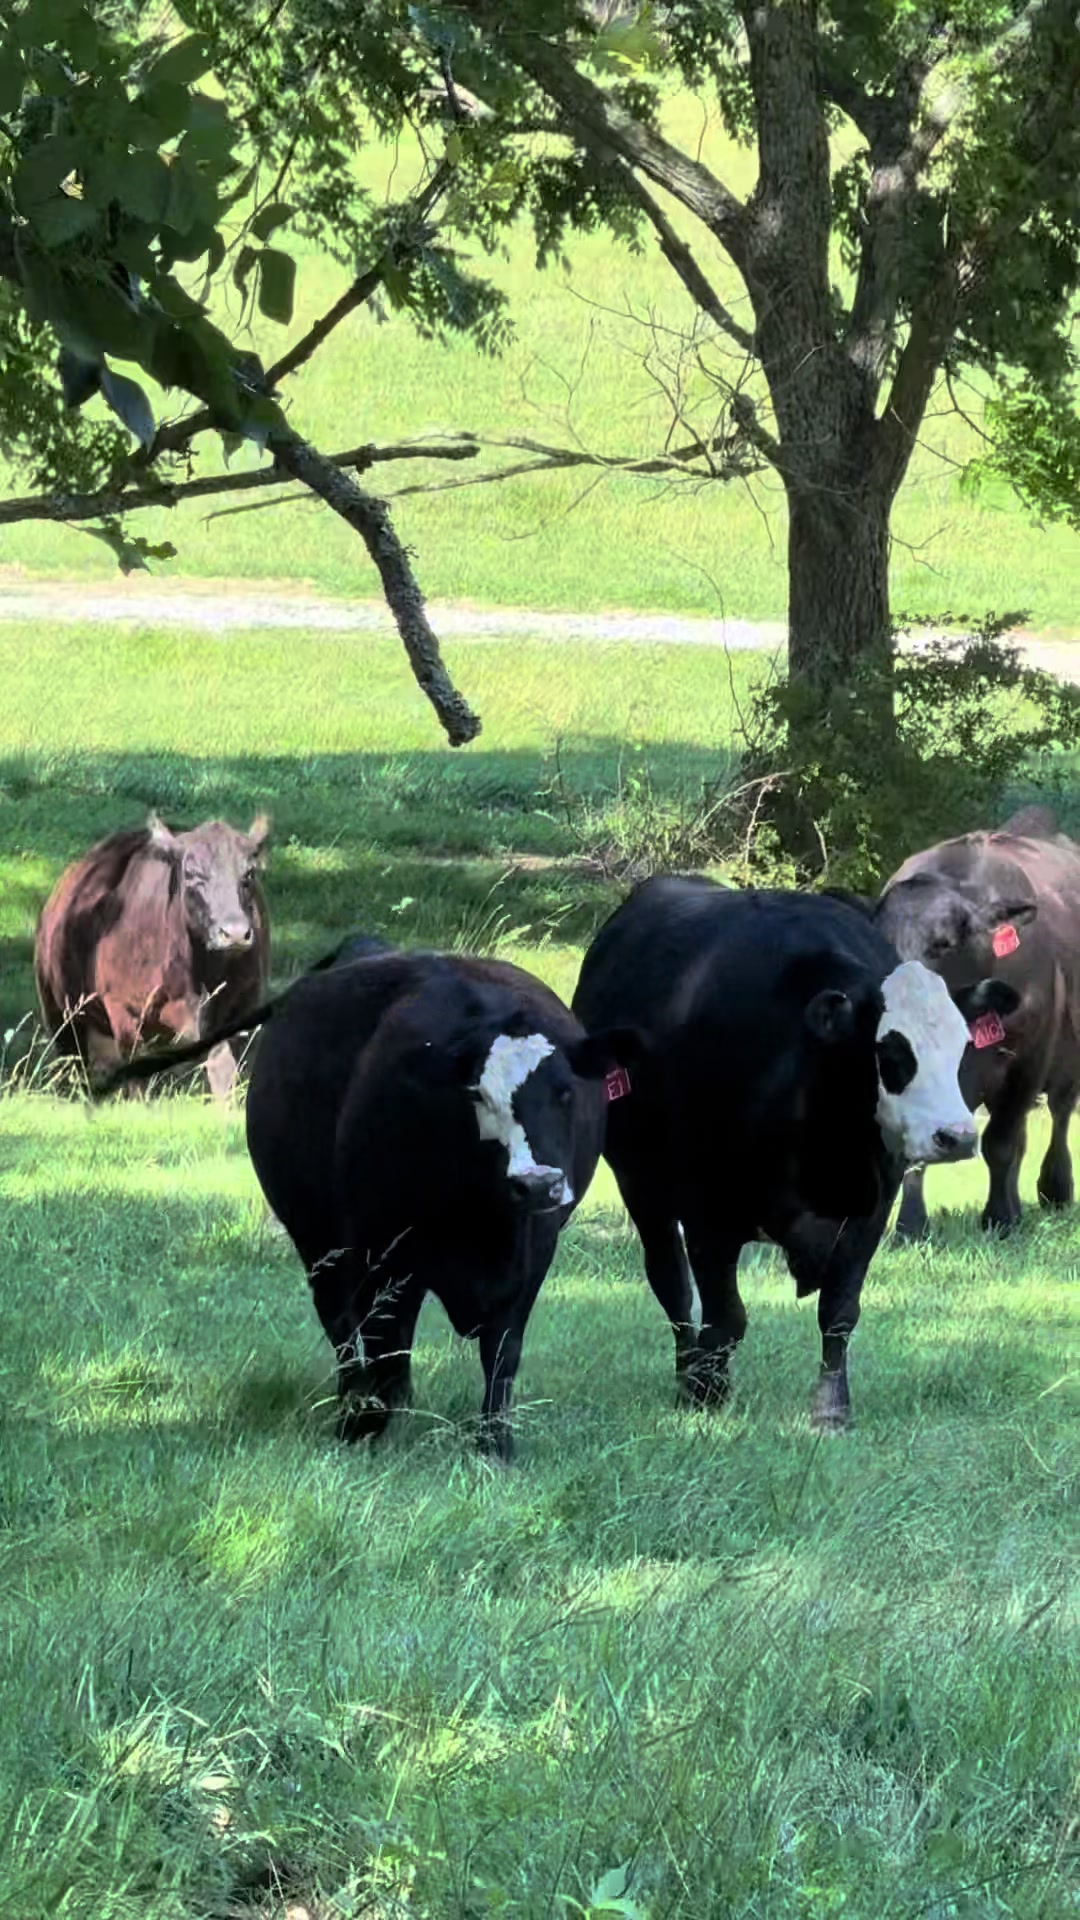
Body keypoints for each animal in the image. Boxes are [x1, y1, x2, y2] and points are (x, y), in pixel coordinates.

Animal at [35, 814, 270, 1097]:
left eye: (249, 873)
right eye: (191, 873)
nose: (235, 932)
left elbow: (223, 1072)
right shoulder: (124, 1013)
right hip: (60, 1011)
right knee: (74, 1062)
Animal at [96, 941, 637, 1461]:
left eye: (565, 1092)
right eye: (478, 1095)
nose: (538, 1182)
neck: (480, 1221)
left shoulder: (532, 1254)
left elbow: (501, 1353)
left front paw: (494, 1444)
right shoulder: (381, 1251)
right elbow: (381, 1341)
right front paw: (366, 1426)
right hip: (320, 1243)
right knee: (342, 1324)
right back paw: (357, 1401)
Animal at [571, 877, 1018, 1432]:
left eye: (961, 1046)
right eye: (890, 1051)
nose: (955, 1136)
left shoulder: (871, 1208)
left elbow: (839, 1311)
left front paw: (831, 1410)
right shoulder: (707, 1213)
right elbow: (725, 1317)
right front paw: (706, 1394)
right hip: (641, 1185)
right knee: (671, 1285)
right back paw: (686, 1374)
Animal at [877, 806, 1080, 1236]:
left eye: (944, 943)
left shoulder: (1027, 1061)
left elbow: (1001, 1142)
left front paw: (1000, 1218)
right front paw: (910, 1224)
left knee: (1059, 1113)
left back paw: (1054, 1190)